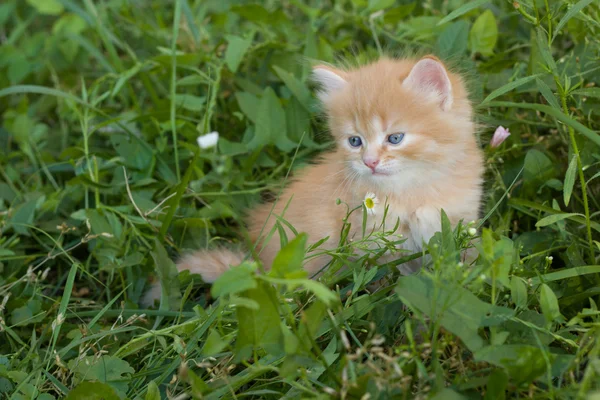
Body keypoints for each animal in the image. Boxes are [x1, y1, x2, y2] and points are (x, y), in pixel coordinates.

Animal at [144, 54, 482, 304]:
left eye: (395, 138)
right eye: (355, 141)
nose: (369, 162)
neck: (413, 188)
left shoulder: (459, 223)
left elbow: (465, 261)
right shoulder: (373, 243)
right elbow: (390, 278)